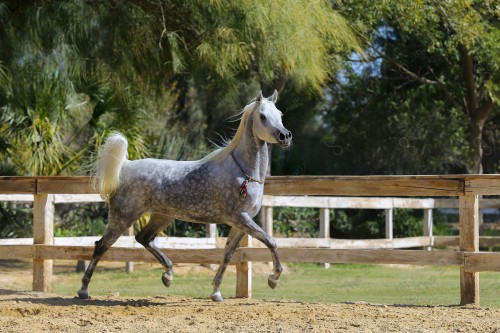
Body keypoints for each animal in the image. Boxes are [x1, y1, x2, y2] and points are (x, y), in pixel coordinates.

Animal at [78, 90, 292, 300]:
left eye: (280, 114)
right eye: (262, 116)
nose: (285, 136)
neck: (243, 173)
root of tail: (126, 166)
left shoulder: (240, 224)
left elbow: (228, 254)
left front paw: (216, 292)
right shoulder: (241, 218)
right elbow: (271, 242)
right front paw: (273, 278)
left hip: (162, 216)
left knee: (143, 238)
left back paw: (168, 275)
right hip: (123, 217)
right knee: (101, 245)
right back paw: (83, 291)